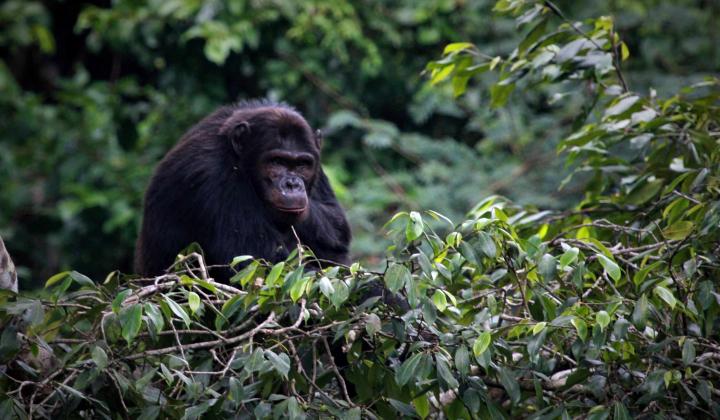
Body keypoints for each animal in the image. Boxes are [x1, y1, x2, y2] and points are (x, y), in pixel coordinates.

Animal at [135, 100, 352, 280]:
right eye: (277, 162)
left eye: (301, 165)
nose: (292, 184)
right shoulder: (212, 176)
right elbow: (254, 264)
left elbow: (336, 225)